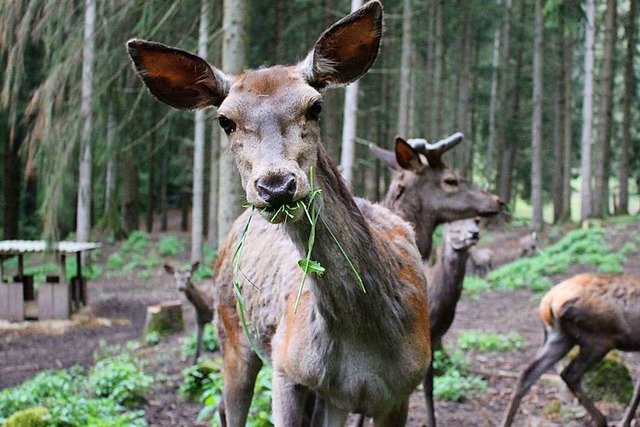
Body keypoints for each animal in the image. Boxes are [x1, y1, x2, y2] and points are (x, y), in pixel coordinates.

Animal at [127, 2, 432, 424]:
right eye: (225, 120)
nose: (276, 186)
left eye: (315, 106)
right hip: (233, 336)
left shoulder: (401, 390)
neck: (365, 335)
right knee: (227, 404)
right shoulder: (288, 368)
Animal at [500, 274, 640, 427]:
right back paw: (601, 420)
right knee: (570, 374)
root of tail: (549, 302)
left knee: (526, 374)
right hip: (598, 341)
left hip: (559, 338)